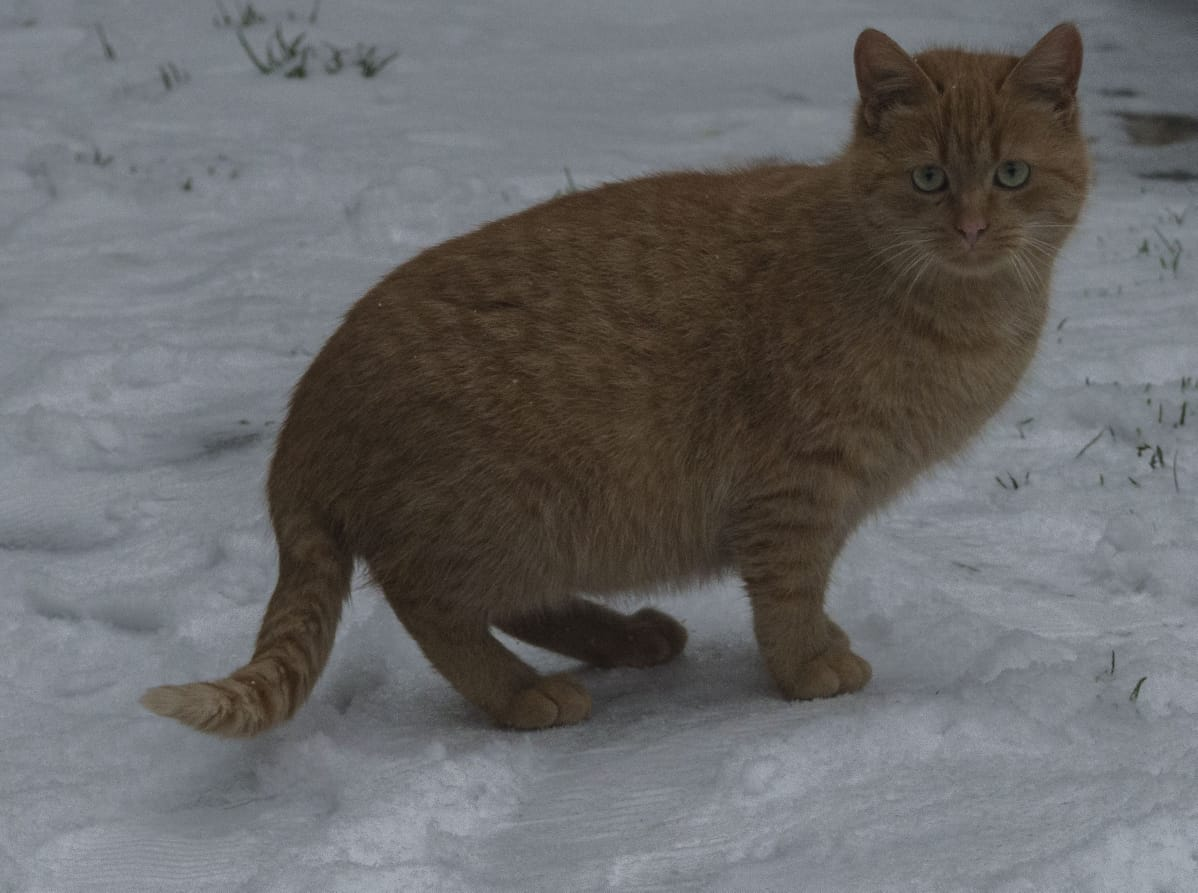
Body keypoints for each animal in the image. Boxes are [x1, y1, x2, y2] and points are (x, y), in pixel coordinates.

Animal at [140, 24, 1087, 733]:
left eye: (1011, 174)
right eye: (929, 178)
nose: (972, 228)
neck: (952, 311)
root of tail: (303, 413)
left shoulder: (823, 500)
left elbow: (808, 583)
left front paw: (816, 639)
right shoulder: (797, 487)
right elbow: (787, 588)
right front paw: (804, 668)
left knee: (514, 603)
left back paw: (629, 639)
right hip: (506, 514)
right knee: (432, 603)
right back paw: (523, 692)